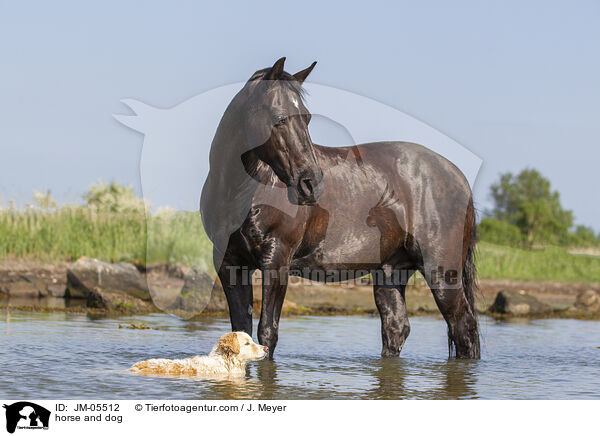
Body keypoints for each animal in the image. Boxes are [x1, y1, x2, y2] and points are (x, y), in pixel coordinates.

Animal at [200, 57, 478, 358]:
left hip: (443, 275)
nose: (311, 183)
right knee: (396, 328)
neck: (240, 192)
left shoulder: (276, 262)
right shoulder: (230, 264)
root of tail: (458, 177)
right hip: (391, 272)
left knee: (462, 327)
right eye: (280, 118)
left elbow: (267, 332)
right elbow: (240, 330)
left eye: (307, 118)